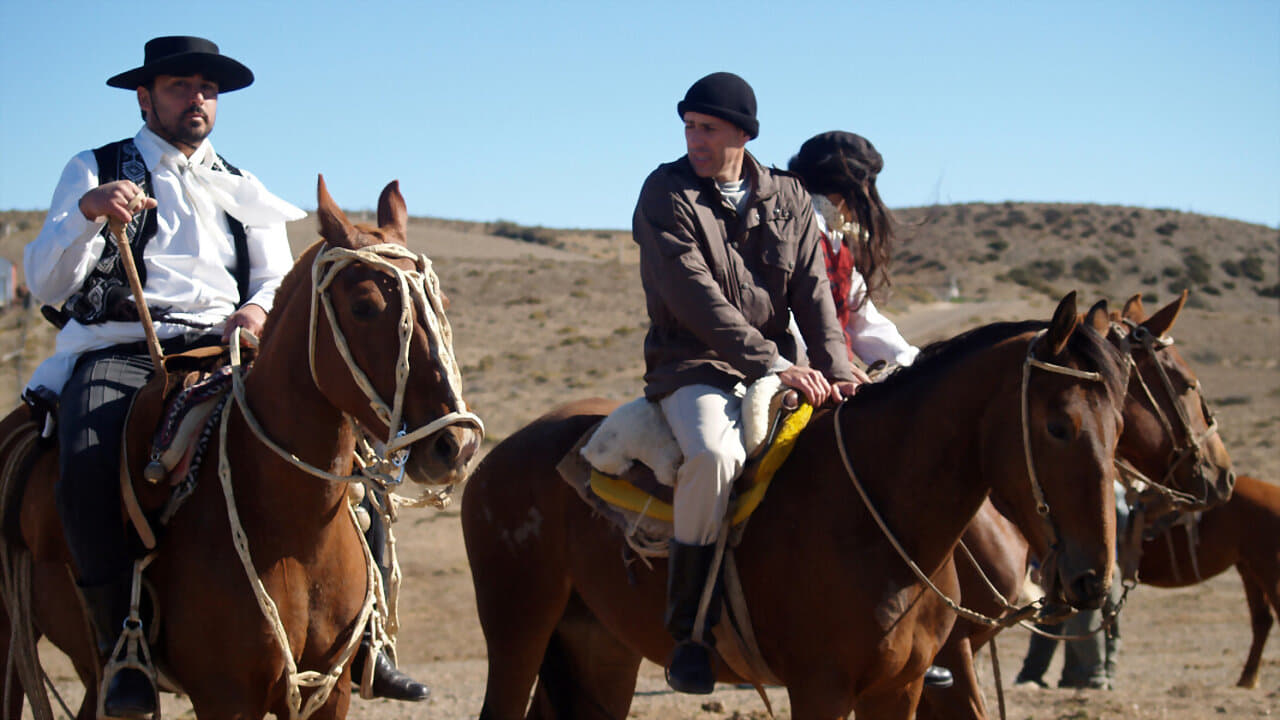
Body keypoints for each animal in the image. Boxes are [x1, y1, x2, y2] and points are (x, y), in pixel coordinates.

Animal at [0, 178, 481, 717]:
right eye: (363, 306)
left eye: (439, 301)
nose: (456, 444)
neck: (294, 531)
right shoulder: (225, 695)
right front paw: (106, 200)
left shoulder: (329, 691)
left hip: (88, 669)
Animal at [460, 293, 1131, 717]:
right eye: (1059, 427)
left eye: (1122, 426)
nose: (1092, 577)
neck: (876, 519)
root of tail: (496, 459)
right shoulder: (820, 690)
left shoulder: (901, 689)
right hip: (519, 632)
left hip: (599, 649)